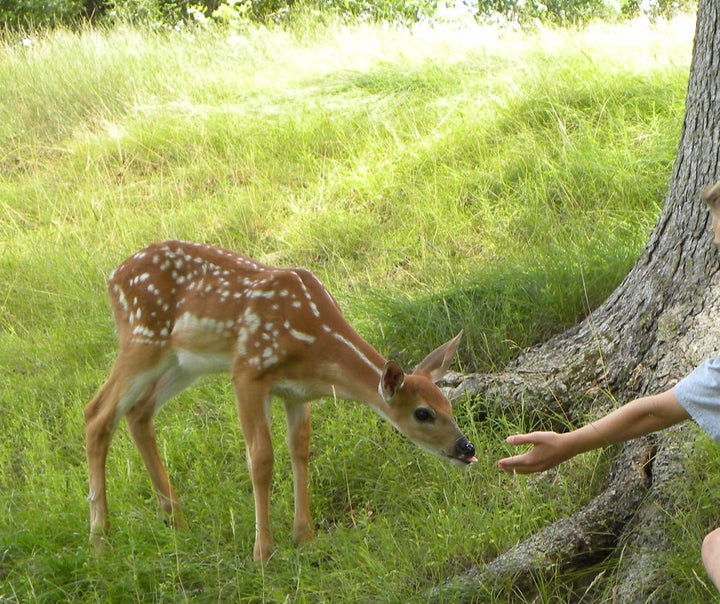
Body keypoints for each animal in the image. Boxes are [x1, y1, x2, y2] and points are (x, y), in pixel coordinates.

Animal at [84, 241, 476, 560]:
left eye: (449, 405)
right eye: (423, 413)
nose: (466, 448)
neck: (316, 344)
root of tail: (112, 278)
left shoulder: (296, 392)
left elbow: (300, 449)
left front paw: (305, 537)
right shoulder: (247, 372)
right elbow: (261, 460)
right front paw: (263, 551)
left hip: (183, 363)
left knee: (138, 412)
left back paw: (176, 521)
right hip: (142, 339)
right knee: (97, 412)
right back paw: (100, 539)